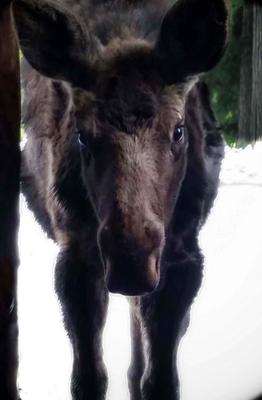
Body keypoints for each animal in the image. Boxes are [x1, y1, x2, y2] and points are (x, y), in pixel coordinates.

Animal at [13, 0, 227, 398]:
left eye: (178, 131)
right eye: (82, 135)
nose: (131, 262)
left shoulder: (183, 255)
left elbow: (161, 381)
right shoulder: (76, 254)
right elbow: (88, 379)